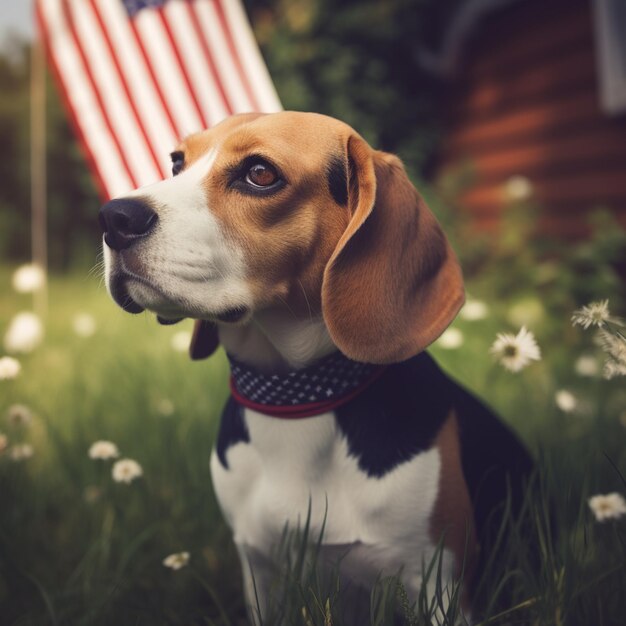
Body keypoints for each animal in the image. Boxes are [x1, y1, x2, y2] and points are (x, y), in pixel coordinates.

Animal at [98, 111, 532, 620]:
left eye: (260, 173)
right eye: (175, 163)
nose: (113, 217)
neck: (295, 400)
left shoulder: (439, 584)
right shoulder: (259, 571)